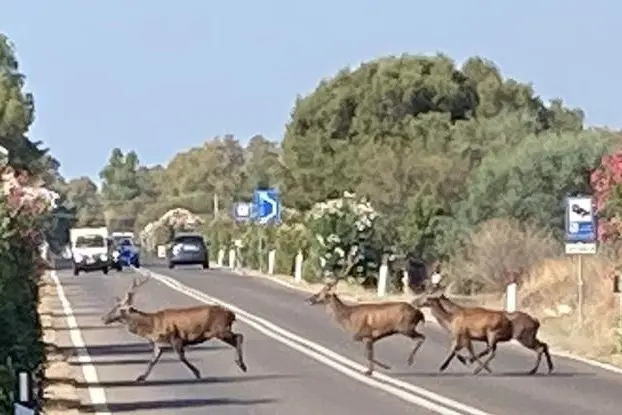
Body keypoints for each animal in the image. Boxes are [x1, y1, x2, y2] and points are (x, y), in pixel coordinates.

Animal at [102, 276, 249, 384]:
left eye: (120, 309)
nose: (104, 318)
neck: (152, 326)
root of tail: (231, 314)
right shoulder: (159, 344)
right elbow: (152, 361)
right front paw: (141, 377)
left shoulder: (176, 338)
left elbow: (181, 357)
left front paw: (197, 373)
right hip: (220, 331)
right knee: (237, 338)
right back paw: (240, 364)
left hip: (219, 329)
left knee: (239, 336)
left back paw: (242, 365)